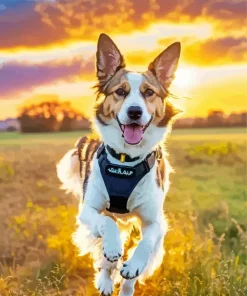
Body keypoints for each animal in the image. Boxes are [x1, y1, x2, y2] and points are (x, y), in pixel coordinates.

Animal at [57, 33, 181, 294]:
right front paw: (113, 248)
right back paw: (106, 279)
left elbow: (146, 242)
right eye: (120, 91)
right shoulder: (87, 210)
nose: (134, 112)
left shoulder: (155, 221)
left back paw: (126, 284)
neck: (126, 161)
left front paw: (133, 265)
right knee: (105, 253)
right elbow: (106, 222)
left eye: (149, 92)